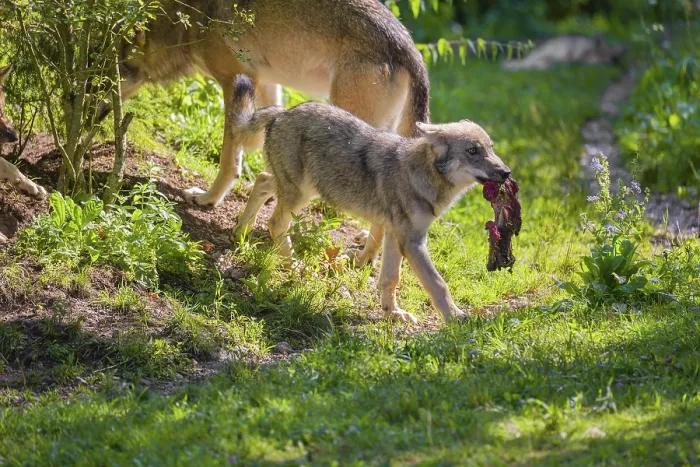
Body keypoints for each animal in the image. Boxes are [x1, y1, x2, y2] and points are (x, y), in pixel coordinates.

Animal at [113, 0, 430, 267]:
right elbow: (257, 134)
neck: (188, 18)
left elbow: (229, 156)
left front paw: (208, 198)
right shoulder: (266, 82)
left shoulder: (235, 78)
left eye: (115, 76)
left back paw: (362, 259)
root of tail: (410, 48)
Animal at [229, 76, 512, 324]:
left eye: (491, 149)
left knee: (261, 181)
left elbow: (390, 279)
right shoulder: (412, 241)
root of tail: (283, 112)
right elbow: (438, 284)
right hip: (300, 194)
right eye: (473, 151)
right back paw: (294, 266)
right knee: (275, 222)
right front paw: (455, 318)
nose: (506, 172)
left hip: (300, 189)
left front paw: (393, 314)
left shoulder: (394, 234)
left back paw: (240, 232)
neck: (422, 174)